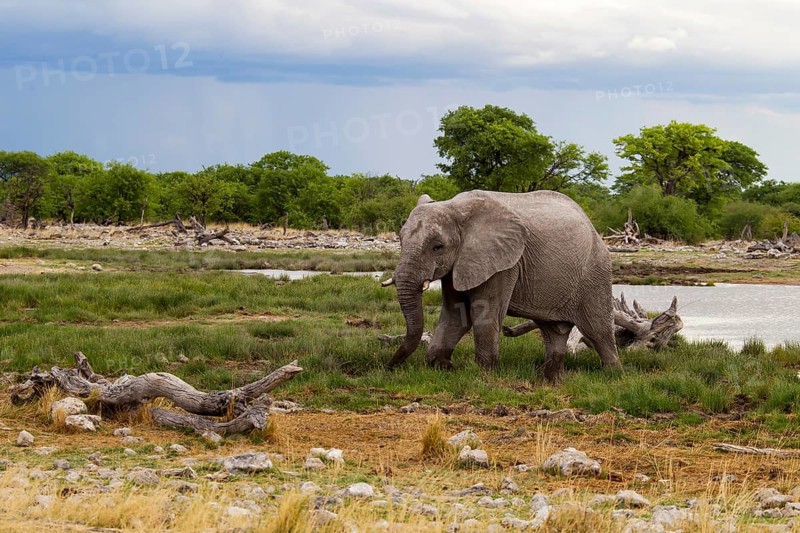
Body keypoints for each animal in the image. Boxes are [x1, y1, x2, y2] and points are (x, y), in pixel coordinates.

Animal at [384, 189, 621, 381]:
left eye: (437, 247)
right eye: (401, 241)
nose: (388, 367)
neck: (455, 207)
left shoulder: (504, 264)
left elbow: (483, 313)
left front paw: (484, 374)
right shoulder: (460, 264)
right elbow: (455, 313)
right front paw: (439, 366)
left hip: (595, 272)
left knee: (596, 329)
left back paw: (612, 375)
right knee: (553, 330)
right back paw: (549, 378)